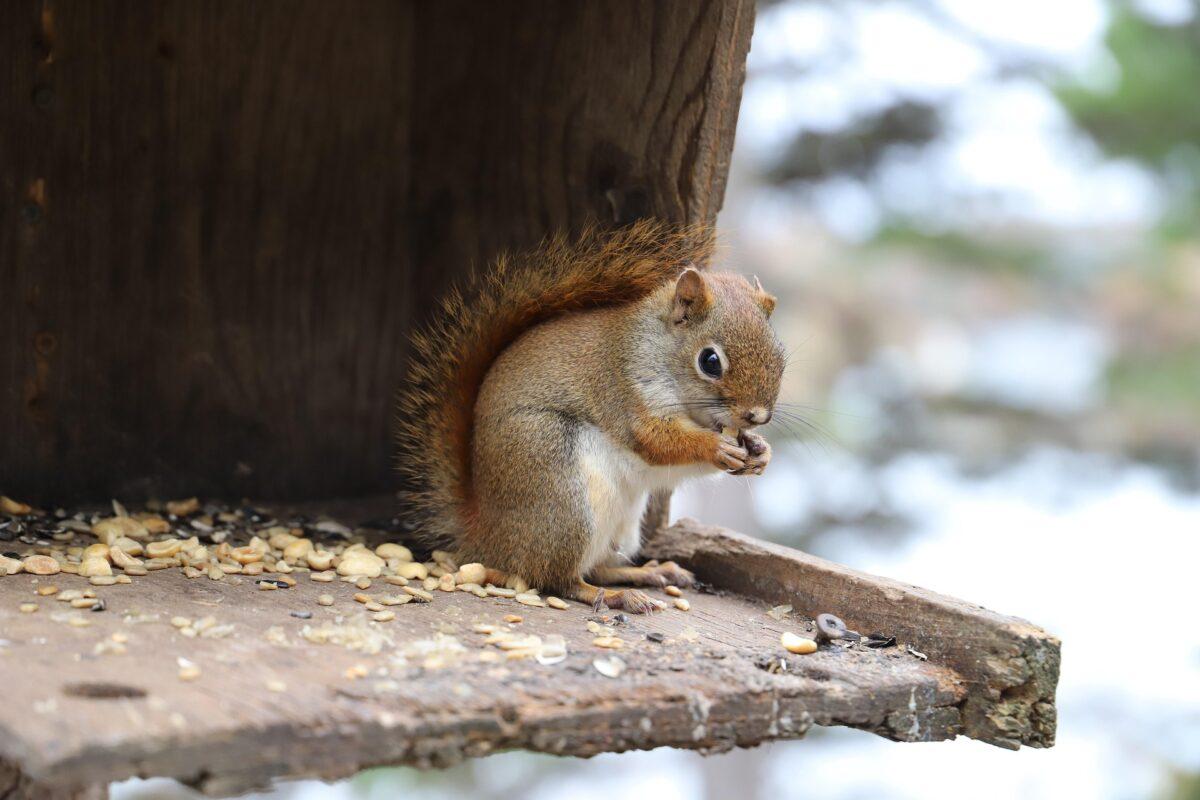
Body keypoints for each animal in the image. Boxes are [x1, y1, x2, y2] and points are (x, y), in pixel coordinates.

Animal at [395, 220, 784, 613]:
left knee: (597, 568)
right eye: (710, 361)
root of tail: (487, 538)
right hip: (560, 492)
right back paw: (613, 596)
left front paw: (759, 452)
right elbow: (656, 441)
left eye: (780, 355)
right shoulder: (624, 392)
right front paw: (716, 448)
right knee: (559, 579)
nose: (757, 416)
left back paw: (650, 573)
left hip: (623, 525)